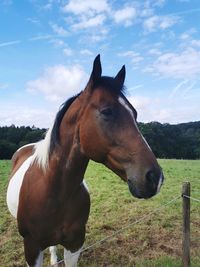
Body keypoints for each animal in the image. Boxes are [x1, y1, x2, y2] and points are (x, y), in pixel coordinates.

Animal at [6, 55, 164, 267]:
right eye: (106, 111)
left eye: (135, 113)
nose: (155, 178)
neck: (52, 191)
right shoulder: (32, 248)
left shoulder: (75, 244)